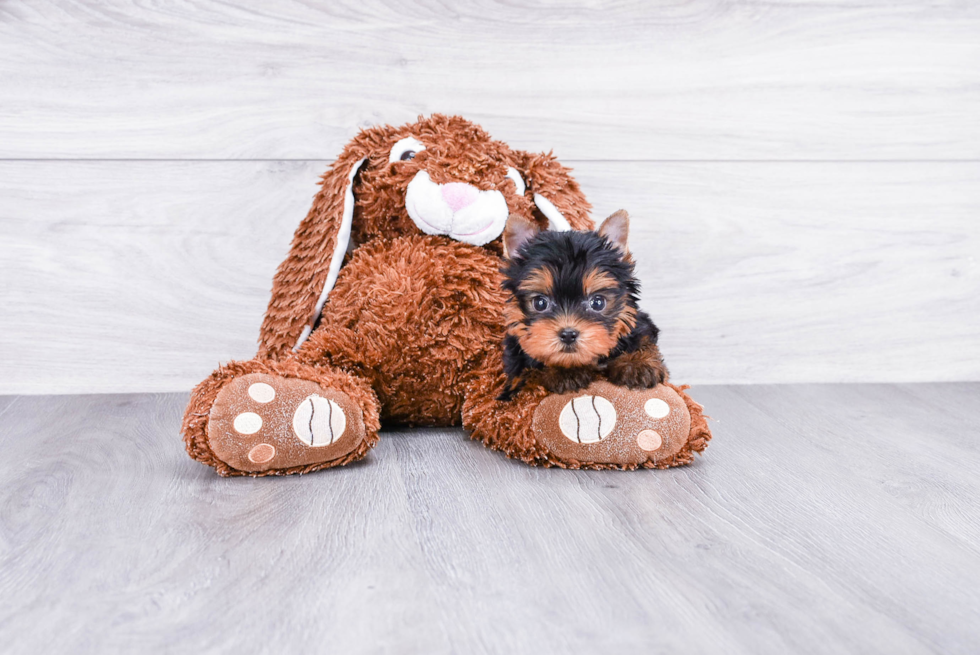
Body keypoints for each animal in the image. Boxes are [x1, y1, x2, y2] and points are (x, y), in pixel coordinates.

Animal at [498, 210, 668, 400]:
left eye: (598, 302)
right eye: (540, 303)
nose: (568, 334)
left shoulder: (638, 323)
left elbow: (643, 338)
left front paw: (638, 363)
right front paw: (565, 372)